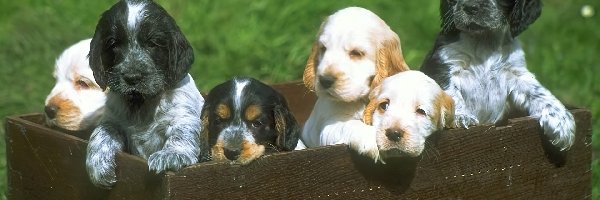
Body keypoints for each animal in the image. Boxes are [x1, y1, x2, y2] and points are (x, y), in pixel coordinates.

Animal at [85, 0, 204, 188]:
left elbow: (181, 133)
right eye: (113, 44)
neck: (140, 103)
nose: (132, 77)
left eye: (152, 43)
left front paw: (170, 155)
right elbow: (101, 131)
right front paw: (98, 164)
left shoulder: (183, 115)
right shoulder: (113, 120)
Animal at [298, 6, 408, 161]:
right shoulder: (328, 126)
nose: (325, 80)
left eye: (356, 53)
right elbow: (350, 124)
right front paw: (372, 140)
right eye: (323, 49)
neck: (361, 101)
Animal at [420, 0, 576, 150]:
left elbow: (539, 92)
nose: (470, 7)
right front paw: (461, 117)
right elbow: (450, 93)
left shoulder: (516, 73)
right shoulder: (443, 65)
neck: (484, 40)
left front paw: (563, 122)